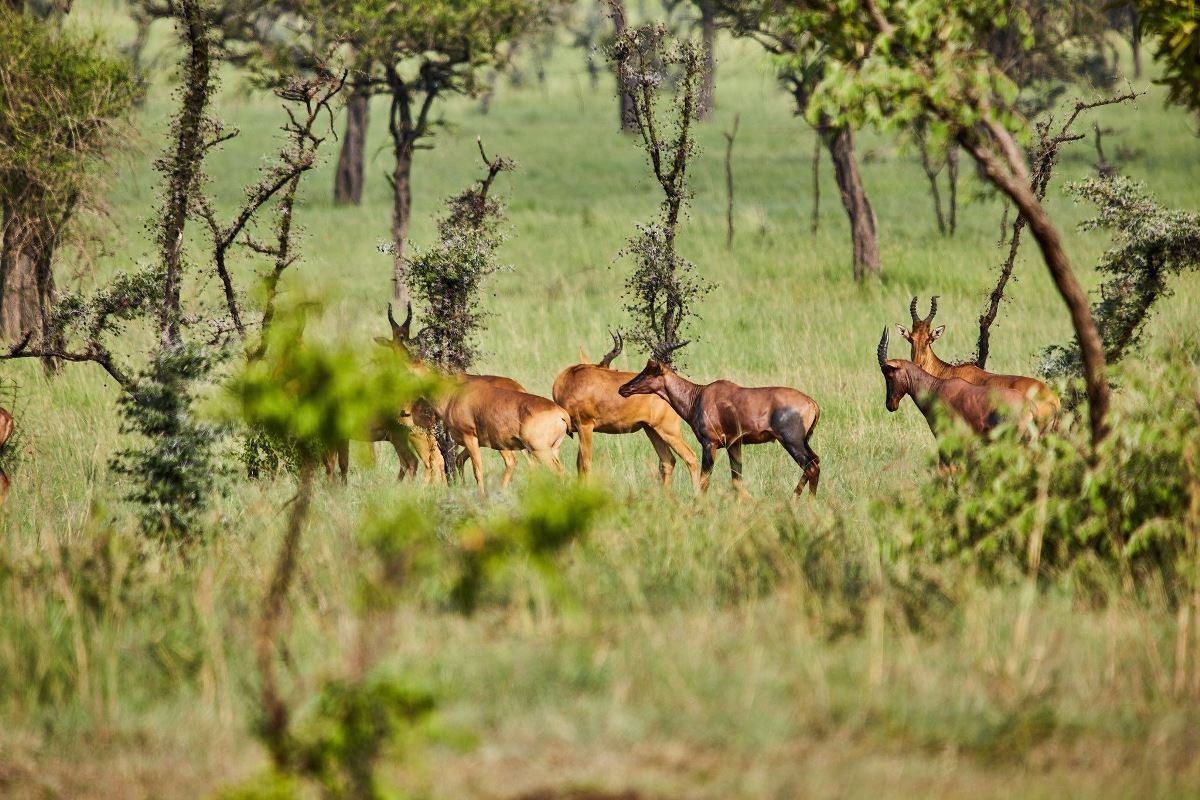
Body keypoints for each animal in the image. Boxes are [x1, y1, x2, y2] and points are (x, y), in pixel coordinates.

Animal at [552, 331, 700, 489]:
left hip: (668, 430)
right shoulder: (580, 429)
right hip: (652, 430)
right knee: (668, 461)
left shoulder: (585, 426)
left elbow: (585, 464)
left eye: (614, 371)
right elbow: (579, 465)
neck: (571, 381)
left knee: (690, 457)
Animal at [614, 345, 820, 496]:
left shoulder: (709, 443)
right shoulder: (734, 444)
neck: (699, 395)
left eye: (650, 371)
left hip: (792, 442)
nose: (623, 389)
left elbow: (705, 480)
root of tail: (812, 403)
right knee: (816, 462)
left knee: (811, 468)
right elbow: (736, 481)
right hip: (803, 442)